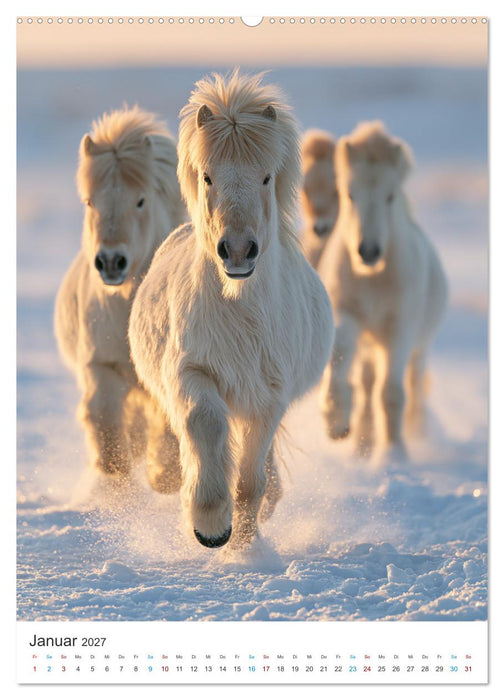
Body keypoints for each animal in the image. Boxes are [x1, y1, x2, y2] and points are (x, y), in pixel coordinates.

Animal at [54, 106, 186, 489]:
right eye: (89, 201)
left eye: (140, 200)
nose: (111, 261)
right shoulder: (101, 365)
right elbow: (105, 424)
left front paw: (163, 475)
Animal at [129, 71, 335, 549]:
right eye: (207, 176)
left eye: (266, 177)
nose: (238, 250)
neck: (242, 314)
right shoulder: (192, 373)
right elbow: (205, 427)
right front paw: (209, 523)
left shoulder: (269, 396)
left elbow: (250, 481)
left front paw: (242, 544)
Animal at [317, 121, 447, 463]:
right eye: (349, 194)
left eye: (390, 196)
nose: (368, 251)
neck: (373, 280)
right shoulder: (347, 313)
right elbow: (339, 355)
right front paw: (336, 421)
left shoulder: (399, 329)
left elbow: (391, 393)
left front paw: (395, 453)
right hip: (369, 346)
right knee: (366, 384)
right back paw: (363, 444)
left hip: (419, 346)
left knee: (414, 381)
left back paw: (417, 432)